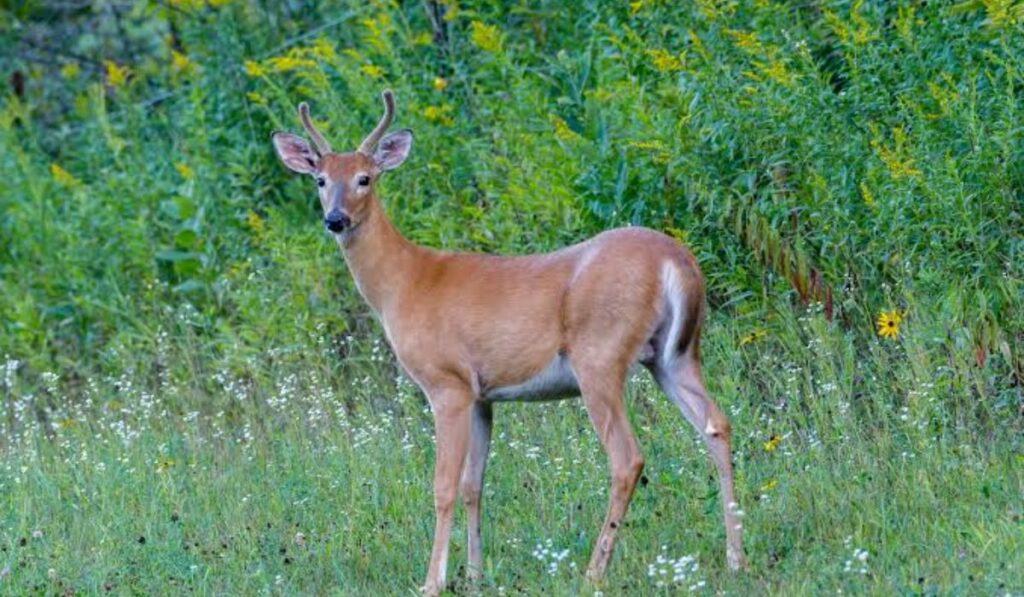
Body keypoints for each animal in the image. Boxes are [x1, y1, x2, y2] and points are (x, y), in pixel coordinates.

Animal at [271, 90, 747, 595]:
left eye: (365, 178)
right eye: (321, 179)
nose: (335, 219)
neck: (403, 283)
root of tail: (676, 261)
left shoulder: (448, 383)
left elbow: (443, 486)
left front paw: (432, 581)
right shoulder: (483, 395)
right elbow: (473, 485)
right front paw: (475, 573)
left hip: (600, 356)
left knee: (628, 457)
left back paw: (593, 571)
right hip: (674, 356)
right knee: (716, 425)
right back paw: (736, 558)